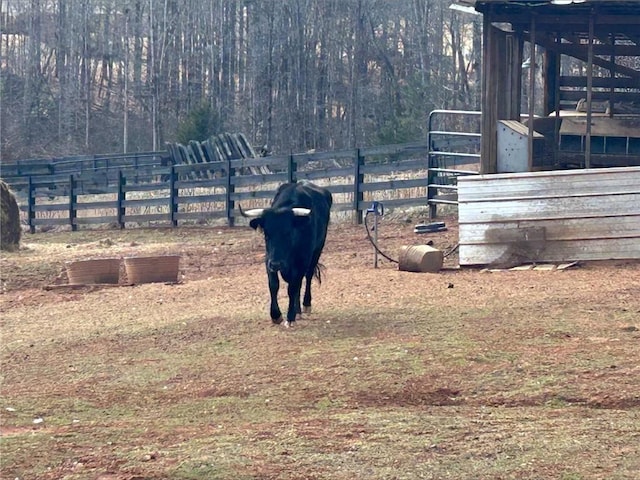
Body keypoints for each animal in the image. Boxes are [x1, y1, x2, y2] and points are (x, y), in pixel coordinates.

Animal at [238, 181, 332, 326]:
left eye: (288, 233)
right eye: (266, 234)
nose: (276, 264)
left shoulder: (302, 261)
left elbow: (292, 287)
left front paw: (290, 316)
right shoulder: (268, 260)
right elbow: (274, 285)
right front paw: (276, 315)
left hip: (317, 250)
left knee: (308, 277)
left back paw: (305, 305)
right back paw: (298, 310)